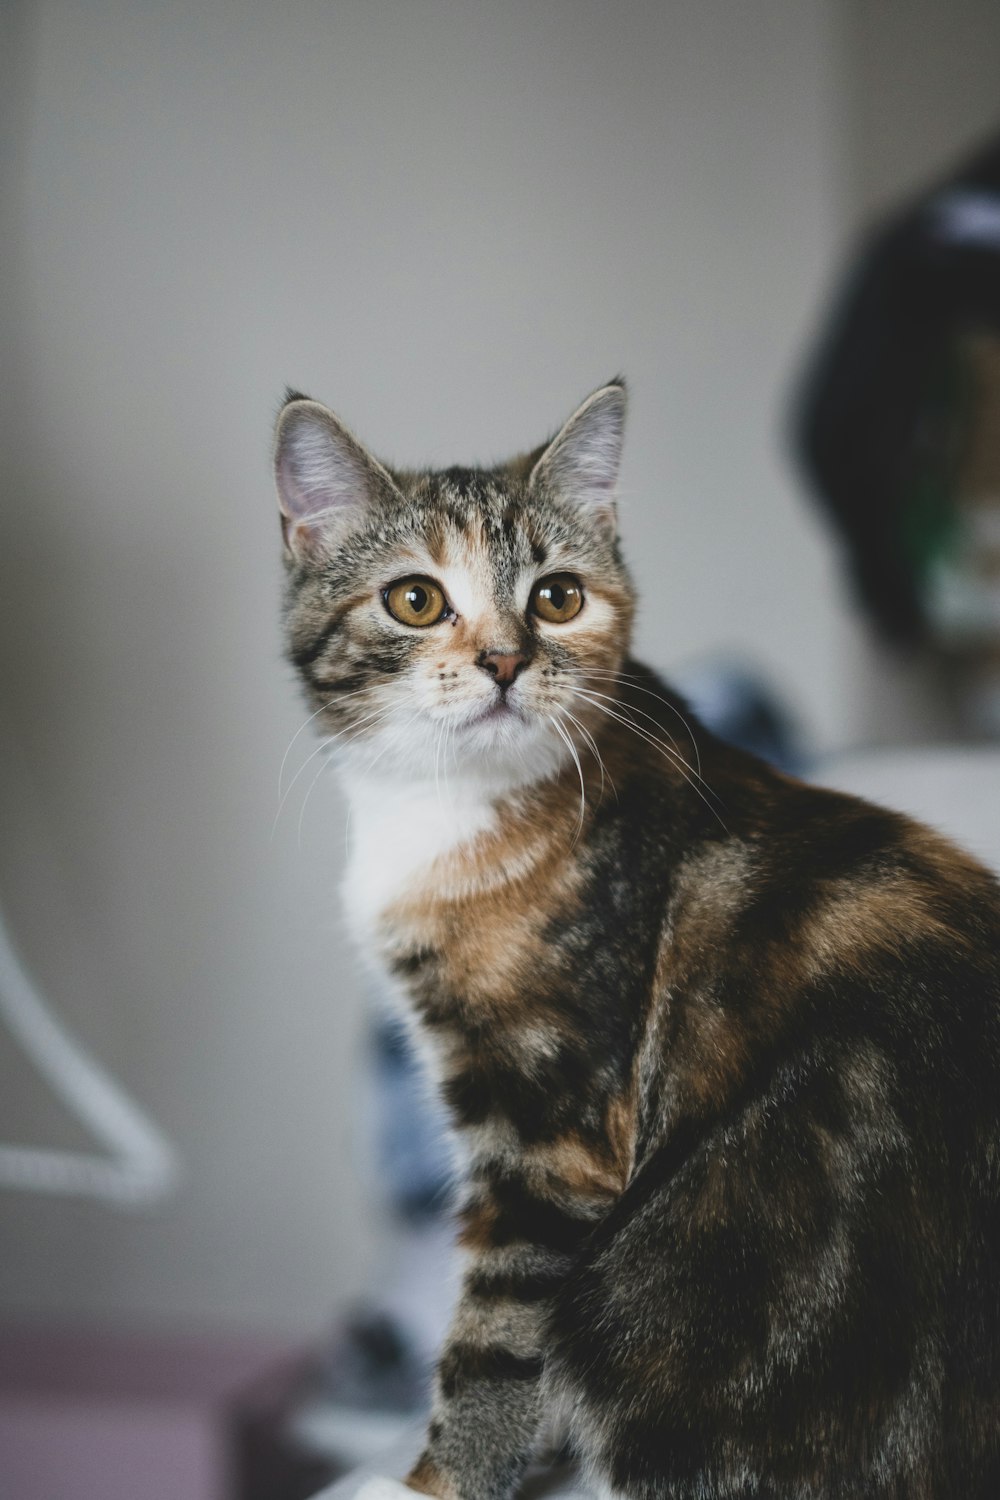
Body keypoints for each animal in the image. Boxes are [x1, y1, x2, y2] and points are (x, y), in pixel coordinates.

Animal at [271, 387, 1000, 1500]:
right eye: (415, 600)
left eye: (559, 597)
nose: (504, 660)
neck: (456, 810)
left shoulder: (552, 1124)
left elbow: (496, 1336)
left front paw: (429, 1482)